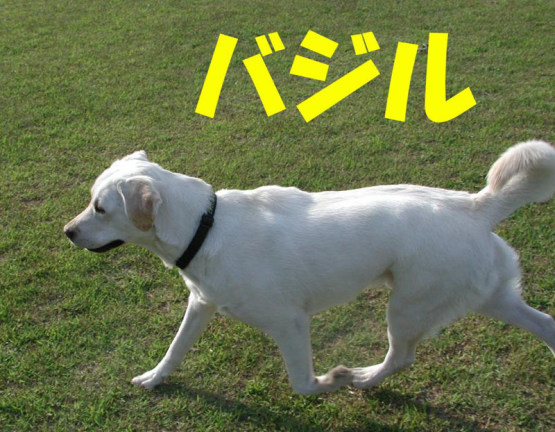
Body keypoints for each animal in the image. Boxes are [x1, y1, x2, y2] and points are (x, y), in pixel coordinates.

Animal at [64, 140, 555, 395]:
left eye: (100, 209)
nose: (67, 232)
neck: (205, 225)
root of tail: (475, 207)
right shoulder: (200, 305)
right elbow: (174, 349)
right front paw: (154, 378)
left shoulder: (291, 323)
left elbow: (303, 384)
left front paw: (331, 380)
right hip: (486, 296)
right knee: (546, 323)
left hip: (408, 308)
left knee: (401, 357)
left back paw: (361, 378)